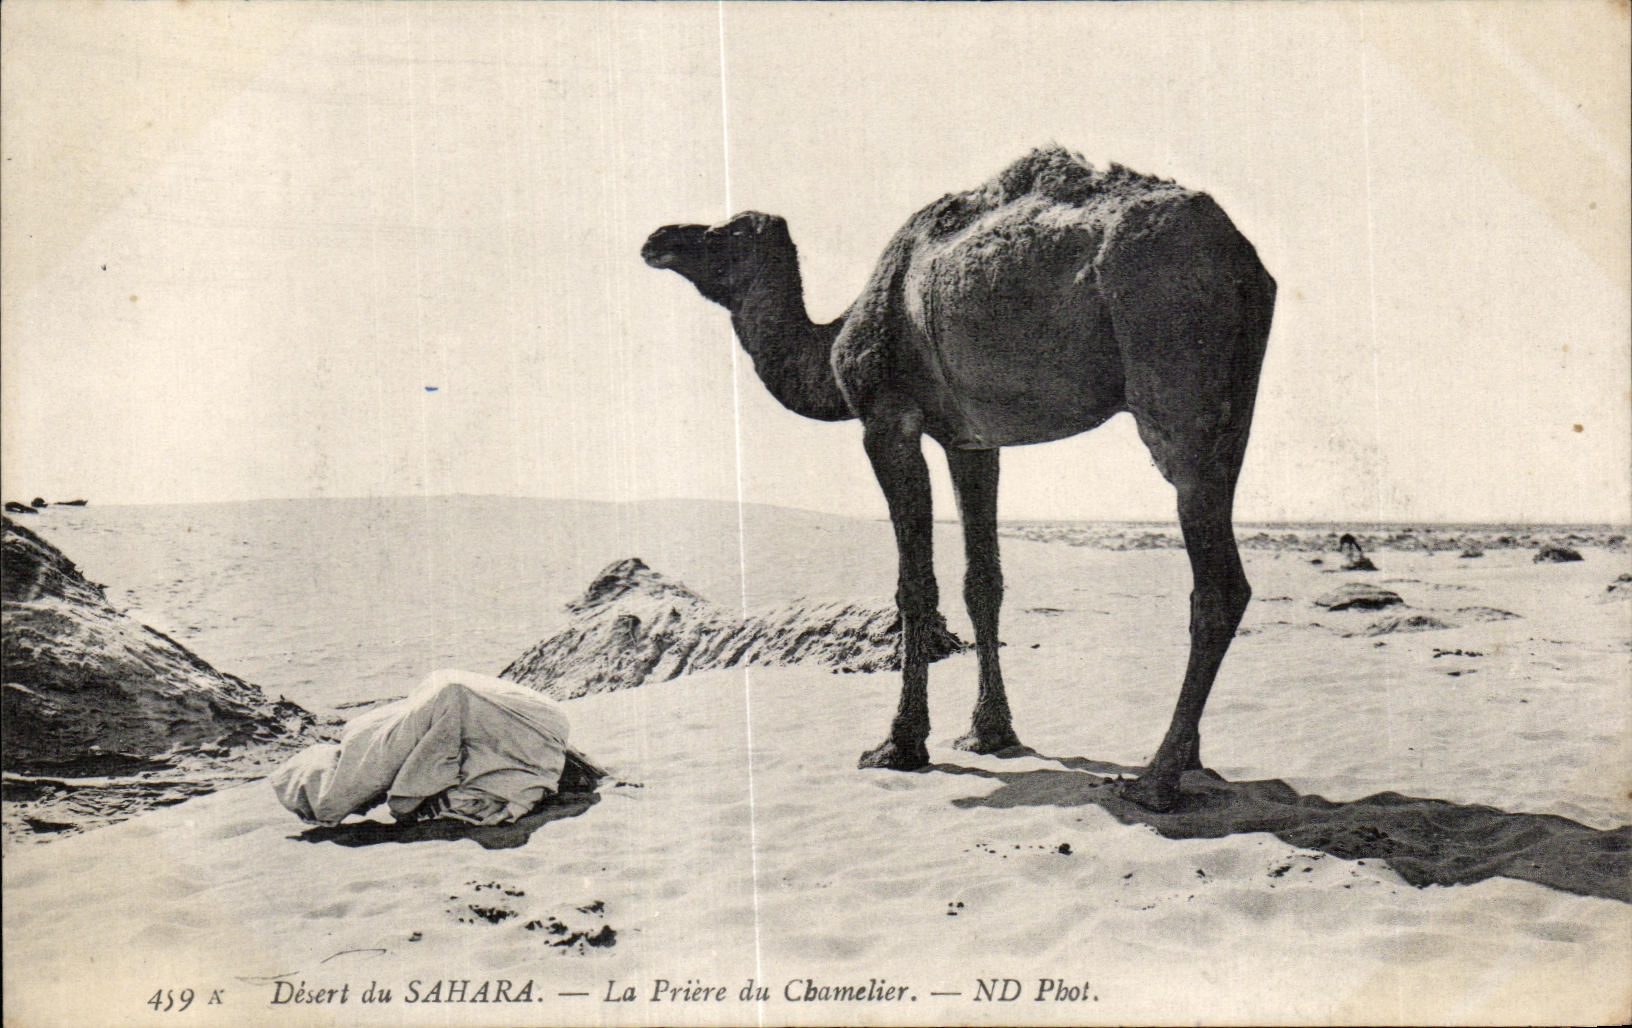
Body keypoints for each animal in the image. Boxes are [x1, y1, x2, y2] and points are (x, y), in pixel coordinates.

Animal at [642, 146, 1275, 811]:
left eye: (729, 232)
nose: (659, 238)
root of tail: (1239, 253)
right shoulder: (971, 441)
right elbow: (982, 581)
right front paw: (990, 733)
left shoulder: (887, 418)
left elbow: (914, 586)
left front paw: (899, 743)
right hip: (1233, 402)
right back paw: (1192, 758)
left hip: (1172, 372)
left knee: (1218, 582)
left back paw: (1157, 779)